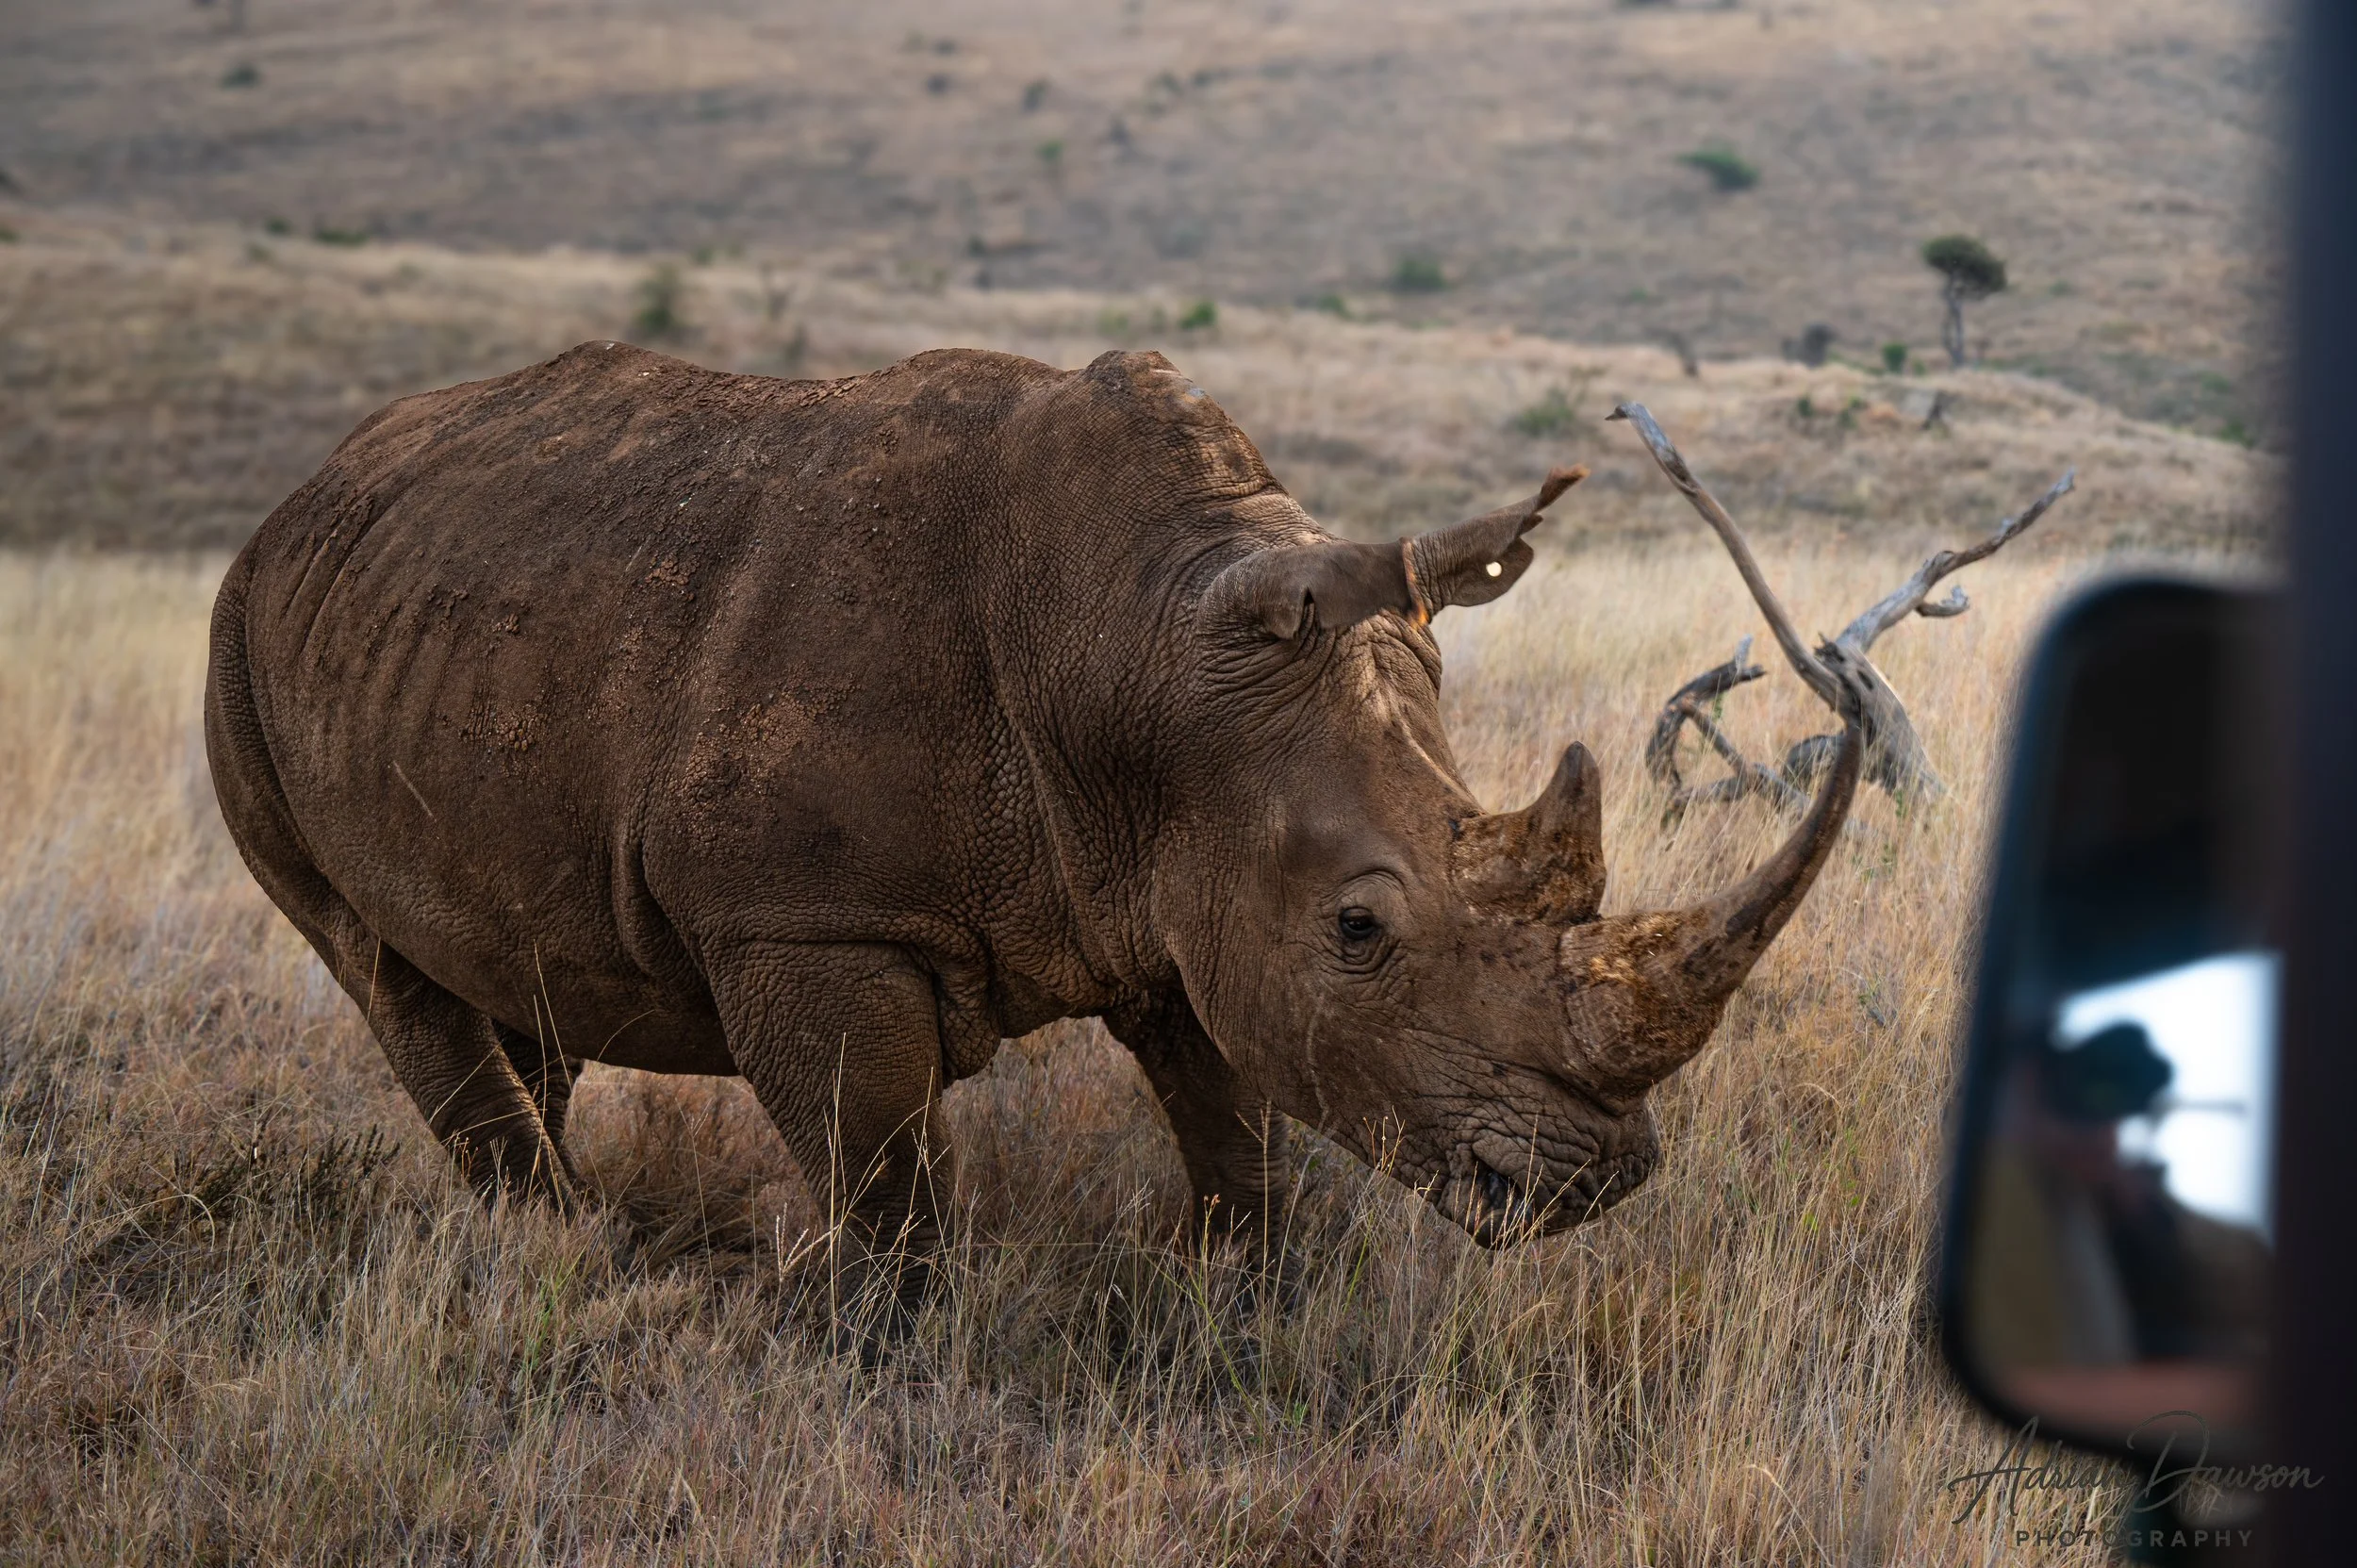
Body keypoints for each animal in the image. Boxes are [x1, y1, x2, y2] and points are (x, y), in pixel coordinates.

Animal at [205, 343, 1860, 1279]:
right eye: (1362, 927)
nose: (1594, 1180)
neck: (1141, 644)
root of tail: (307, 495)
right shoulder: (803, 916)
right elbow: (882, 1174)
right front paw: (883, 1349)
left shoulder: (1186, 862)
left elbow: (1237, 1109)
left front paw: (1244, 1296)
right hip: (236, 640)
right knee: (383, 968)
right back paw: (570, 1252)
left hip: (430, 617)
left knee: (496, 977)